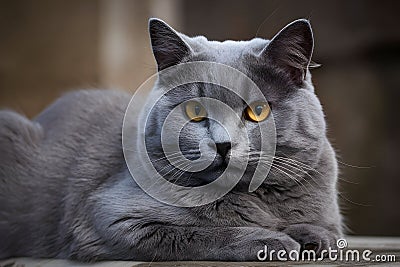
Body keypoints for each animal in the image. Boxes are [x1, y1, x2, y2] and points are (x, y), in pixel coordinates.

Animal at [0, 18, 342, 262]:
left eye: (257, 111)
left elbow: (328, 231)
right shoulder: (111, 218)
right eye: (195, 110)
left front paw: (310, 236)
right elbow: (202, 233)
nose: (222, 144)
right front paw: (272, 240)